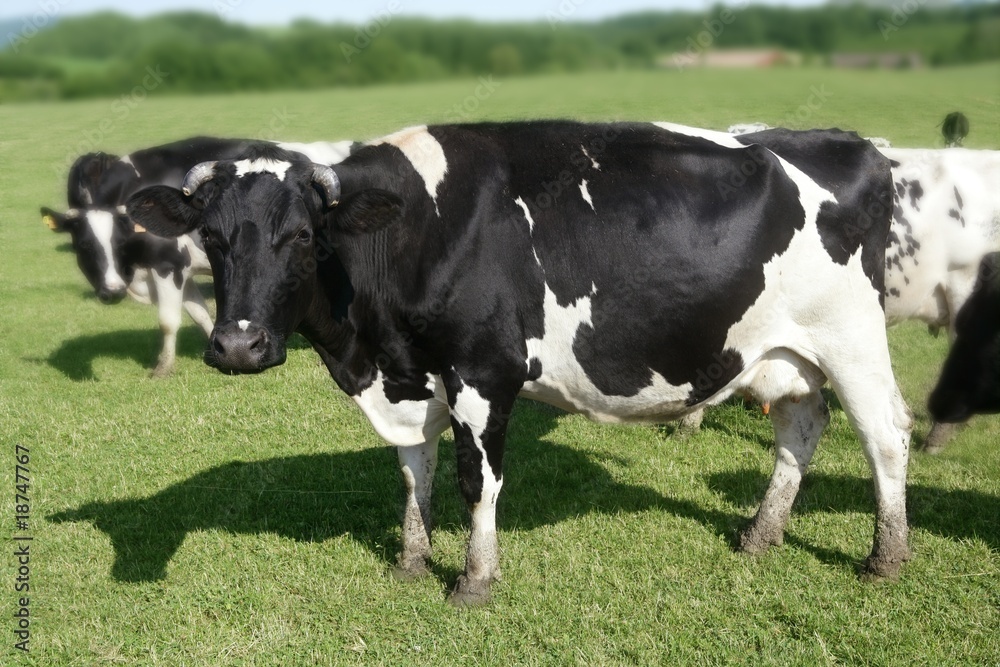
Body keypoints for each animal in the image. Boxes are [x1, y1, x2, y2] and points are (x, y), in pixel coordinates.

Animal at [47, 136, 362, 376]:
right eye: (84, 245)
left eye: (120, 242)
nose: (111, 291)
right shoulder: (182, 270)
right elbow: (199, 314)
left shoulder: (167, 265)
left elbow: (168, 320)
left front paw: (162, 369)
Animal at [127, 121, 916, 604]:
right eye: (211, 237)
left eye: (299, 235)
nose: (238, 345)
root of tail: (848, 142)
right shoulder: (411, 376)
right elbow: (414, 472)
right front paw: (412, 560)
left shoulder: (482, 373)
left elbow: (477, 482)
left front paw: (474, 581)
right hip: (782, 351)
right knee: (801, 427)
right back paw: (760, 534)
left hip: (852, 337)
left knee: (884, 435)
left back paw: (885, 557)